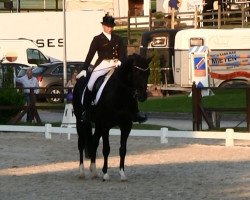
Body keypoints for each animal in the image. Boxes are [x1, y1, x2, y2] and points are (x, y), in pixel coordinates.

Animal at [72, 53, 150, 181]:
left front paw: (122, 174)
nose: (142, 96)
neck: (120, 93)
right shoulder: (105, 125)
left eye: (148, 73)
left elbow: (122, 150)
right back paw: (81, 172)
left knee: (94, 142)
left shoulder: (126, 125)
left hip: (97, 124)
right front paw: (105, 174)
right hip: (81, 121)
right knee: (81, 144)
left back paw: (94, 171)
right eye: (136, 72)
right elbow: (106, 149)